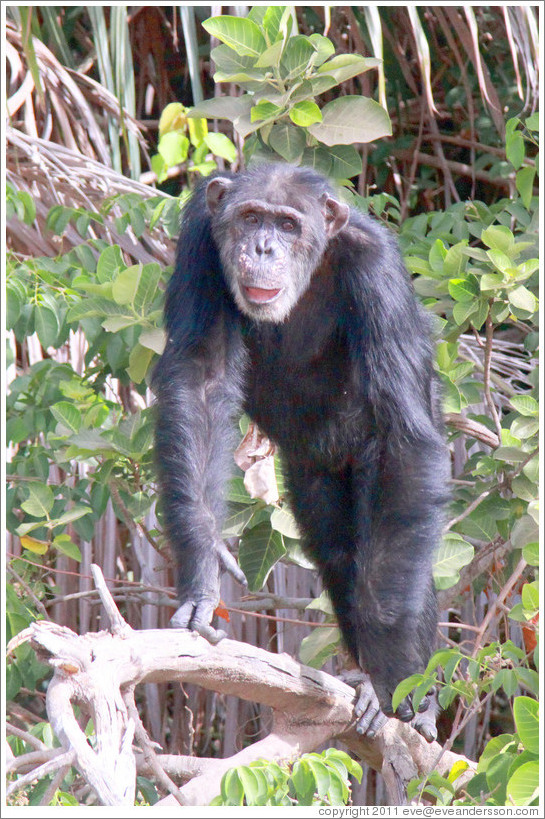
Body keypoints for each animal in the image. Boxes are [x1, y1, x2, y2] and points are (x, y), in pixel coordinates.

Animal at [151, 162, 448, 744]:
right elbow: (202, 379)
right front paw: (202, 567)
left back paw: (408, 695)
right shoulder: (199, 236)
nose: (263, 246)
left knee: (388, 540)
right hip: (312, 474)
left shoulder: (377, 267)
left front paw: (390, 671)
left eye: (288, 224)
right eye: (250, 218)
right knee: (336, 549)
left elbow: (404, 440)